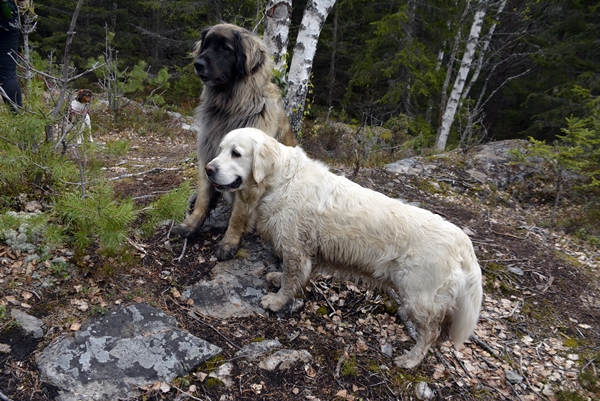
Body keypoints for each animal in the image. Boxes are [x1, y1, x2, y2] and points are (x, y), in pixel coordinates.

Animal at [172, 23, 296, 260]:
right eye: (206, 45)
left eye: (225, 49)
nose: (198, 64)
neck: (230, 106)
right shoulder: (208, 156)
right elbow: (204, 197)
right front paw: (191, 224)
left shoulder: (250, 178)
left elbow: (238, 215)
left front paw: (229, 242)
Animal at [205, 129, 482, 368]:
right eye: (220, 150)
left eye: (236, 153)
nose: (208, 169)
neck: (279, 181)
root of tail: (462, 241)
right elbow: (288, 274)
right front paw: (276, 278)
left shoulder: (296, 249)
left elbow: (290, 279)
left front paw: (276, 300)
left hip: (417, 297)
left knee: (430, 333)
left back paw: (411, 360)